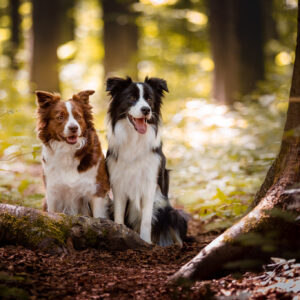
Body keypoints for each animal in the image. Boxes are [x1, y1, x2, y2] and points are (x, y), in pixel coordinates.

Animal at [104, 75, 186, 246]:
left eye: (149, 99)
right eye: (131, 98)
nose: (146, 110)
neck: (134, 139)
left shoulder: (150, 183)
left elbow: (146, 219)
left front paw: (146, 241)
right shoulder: (118, 182)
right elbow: (119, 215)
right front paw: (120, 234)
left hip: (173, 213)